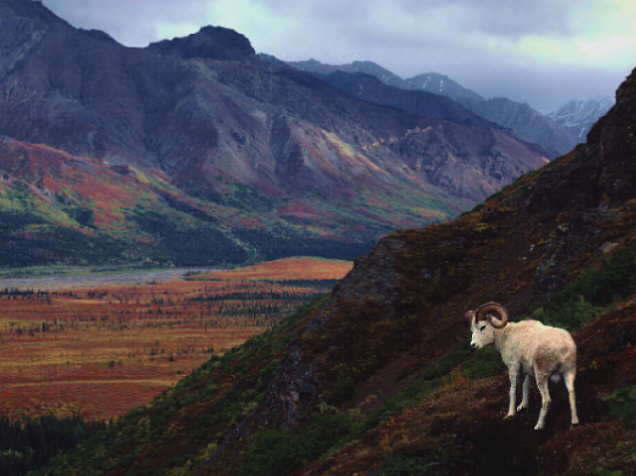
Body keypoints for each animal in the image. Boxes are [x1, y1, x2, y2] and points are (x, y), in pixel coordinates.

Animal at [464, 302, 580, 432]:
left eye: (482, 327)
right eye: (472, 329)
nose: (473, 345)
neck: (505, 336)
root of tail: (562, 348)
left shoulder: (513, 367)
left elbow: (512, 390)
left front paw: (510, 414)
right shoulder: (527, 369)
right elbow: (525, 384)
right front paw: (523, 406)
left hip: (541, 375)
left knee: (546, 400)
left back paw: (538, 425)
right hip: (569, 372)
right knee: (571, 392)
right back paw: (574, 422)